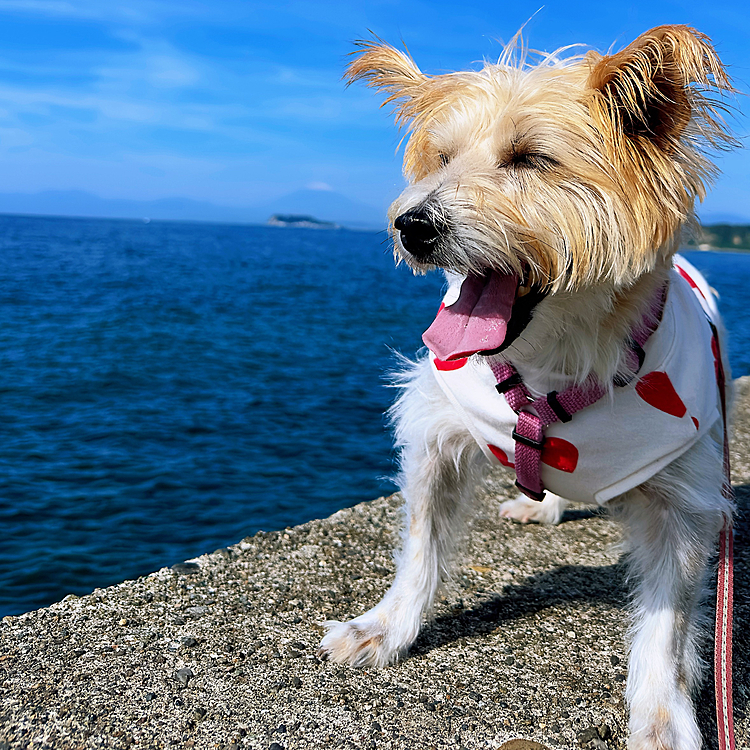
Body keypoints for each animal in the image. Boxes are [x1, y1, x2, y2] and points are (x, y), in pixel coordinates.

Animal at [320, 25, 736, 750]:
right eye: (441, 158)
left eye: (531, 159)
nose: (412, 226)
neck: (556, 360)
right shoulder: (436, 434)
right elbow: (420, 548)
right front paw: (386, 629)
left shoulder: (684, 500)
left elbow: (667, 625)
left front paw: (663, 720)